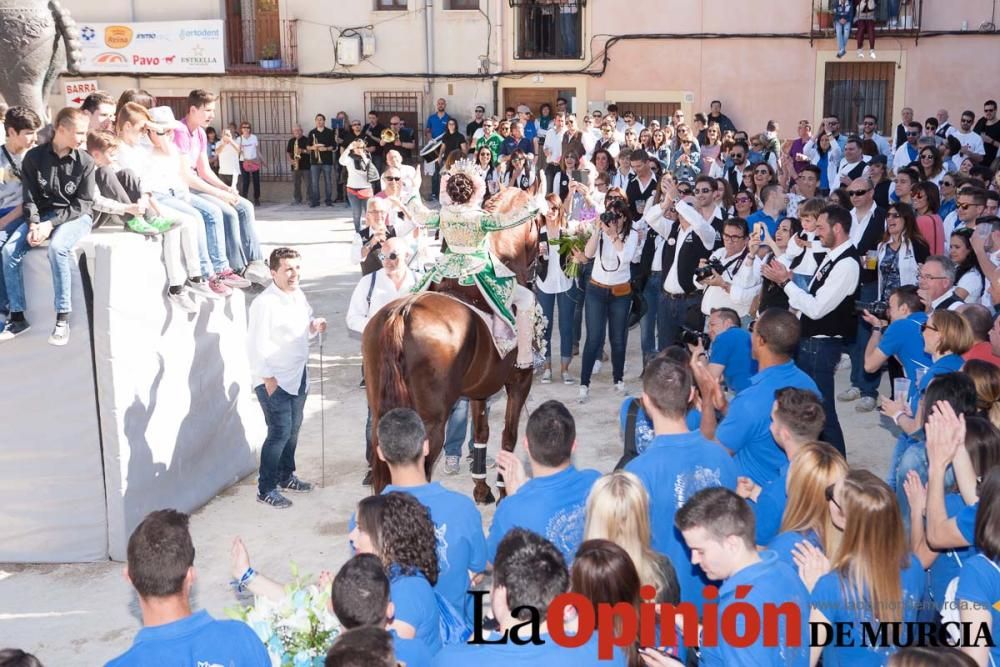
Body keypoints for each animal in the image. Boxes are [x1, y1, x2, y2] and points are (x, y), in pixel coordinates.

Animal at [364, 187, 544, 500]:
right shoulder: (520, 381)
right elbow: (508, 435)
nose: (538, 266)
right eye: (539, 224)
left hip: (381, 412)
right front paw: (503, 491)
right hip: (431, 421)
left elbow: (481, 433)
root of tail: (403, 313)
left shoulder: (479, 391)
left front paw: (482, 489)